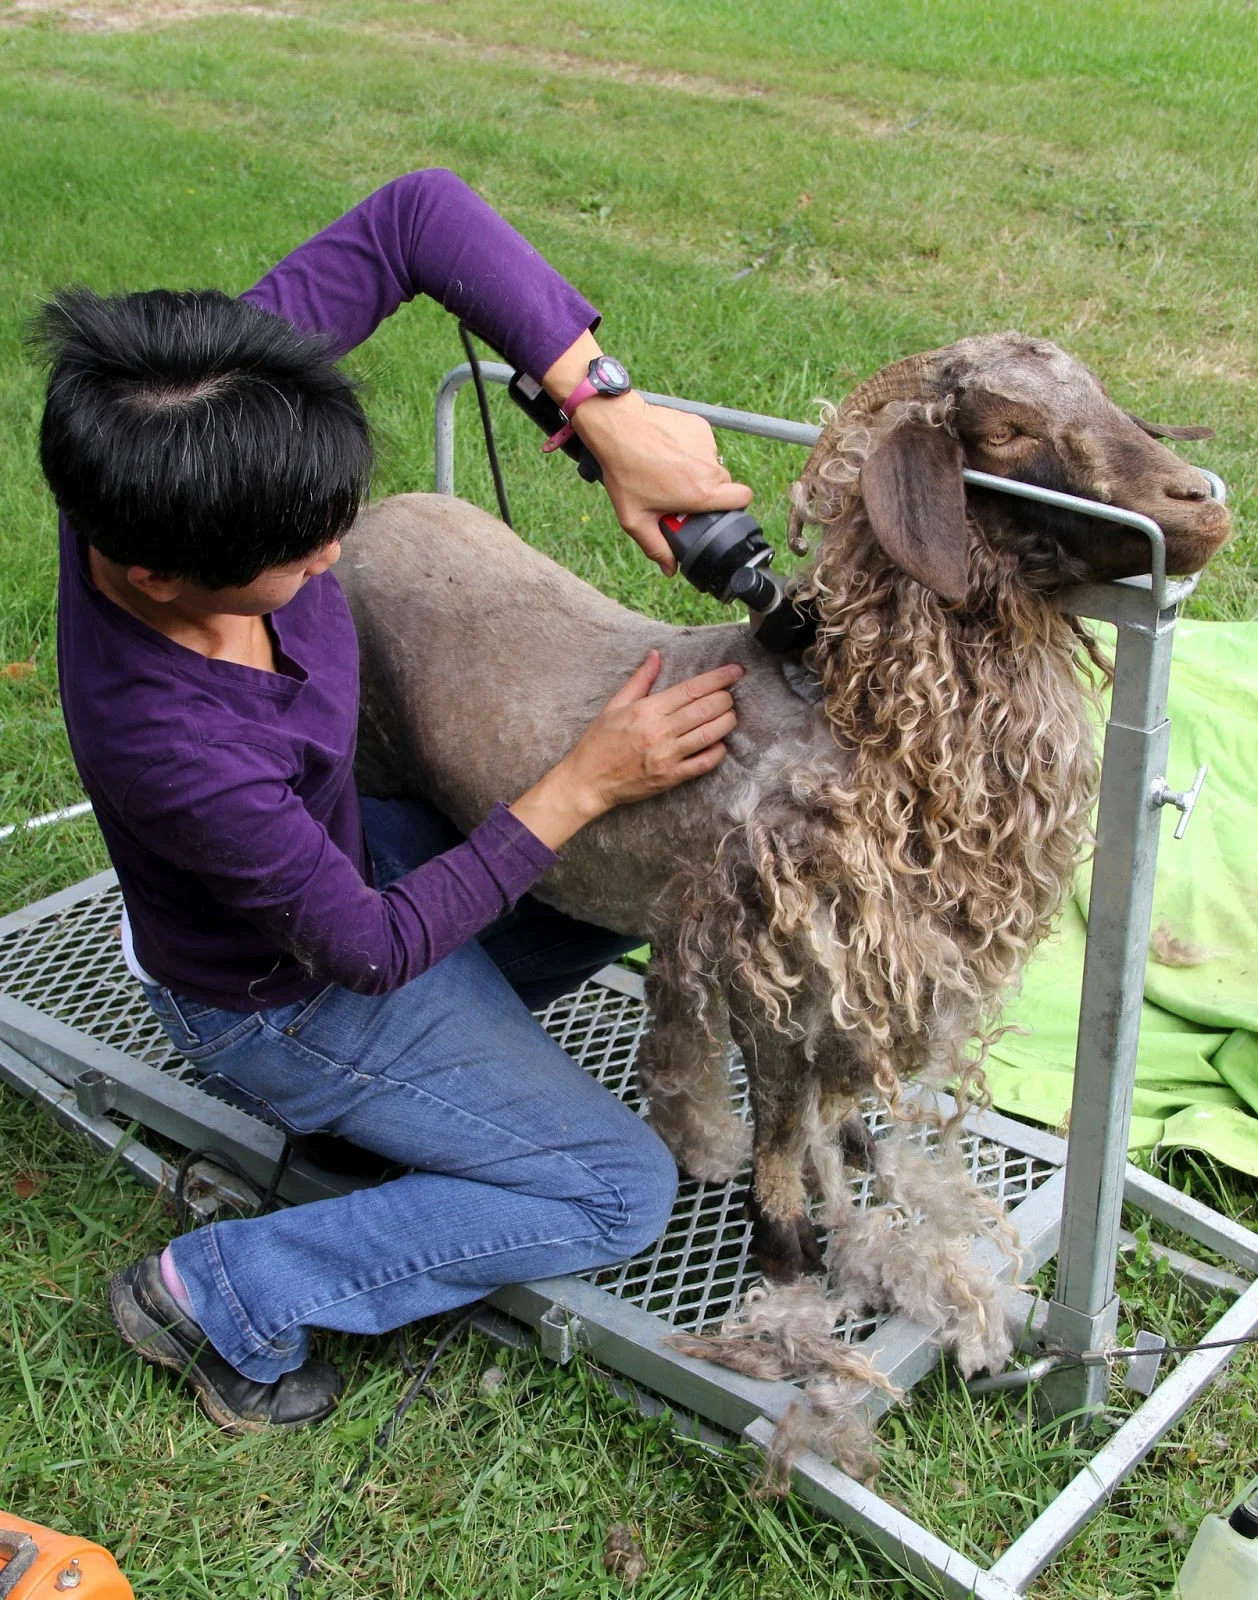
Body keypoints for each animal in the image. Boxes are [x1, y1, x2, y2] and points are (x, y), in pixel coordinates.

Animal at [341, 332, 1229, 1286]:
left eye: (1099, 393)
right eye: (1004, 431)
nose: (1201, 504)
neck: (853, 714)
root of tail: (375, 516)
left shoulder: (862, 973)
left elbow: (826, 1090)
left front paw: (846, 1151)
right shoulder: (769, 954)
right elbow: (777, 1104)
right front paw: (785, 1239)